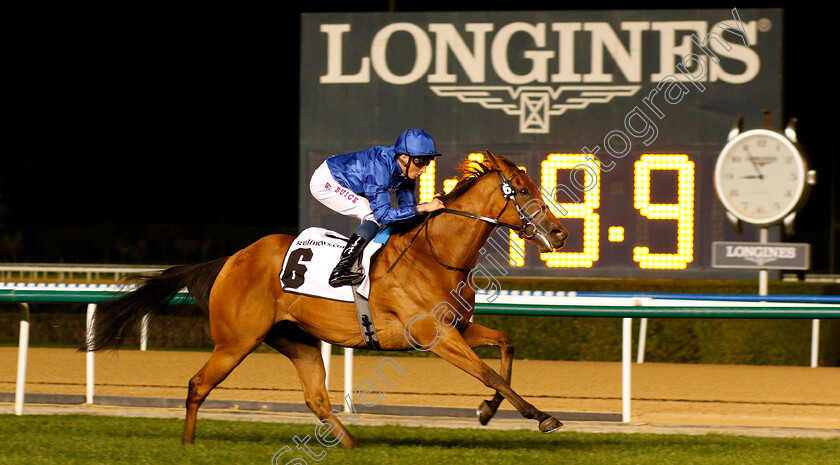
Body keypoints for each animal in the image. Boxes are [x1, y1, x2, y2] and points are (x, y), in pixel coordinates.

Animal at [85, 151, 568, 446]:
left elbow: (506, 345)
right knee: (198, 385)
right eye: (525, 191)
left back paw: (354, 445)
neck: (436, 254)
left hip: (296, 339)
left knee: (316, 399)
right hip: (235, 341)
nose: (560, 232)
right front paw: (540, 415)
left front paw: (487, 411)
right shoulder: (434, 335)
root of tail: (232, 258)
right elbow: (490, 374)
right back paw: (187, 445)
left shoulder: (458, 326)